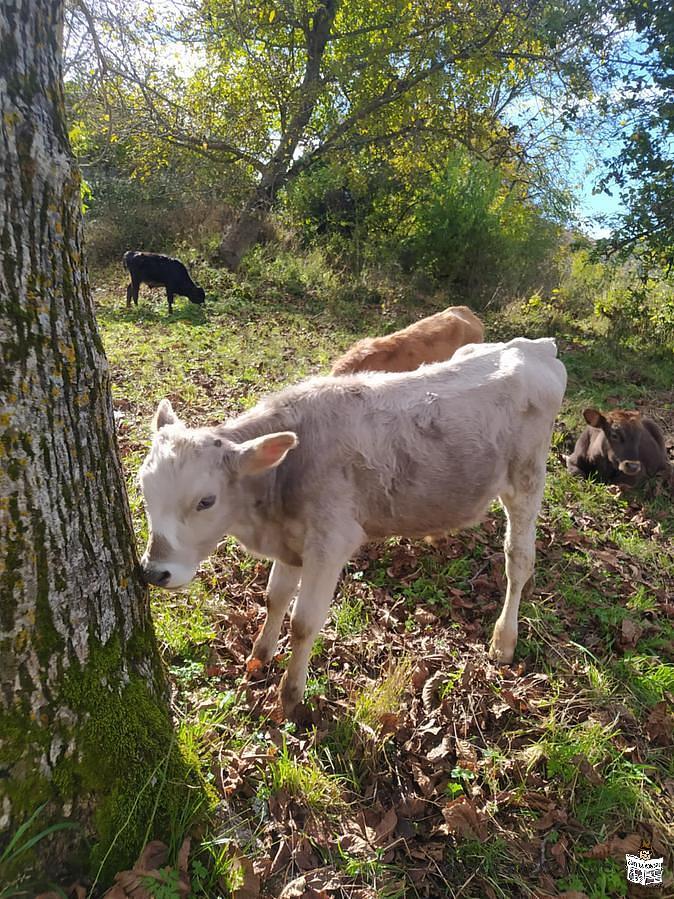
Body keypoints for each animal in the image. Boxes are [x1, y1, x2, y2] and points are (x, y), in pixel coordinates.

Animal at [139, 336, 564, 716]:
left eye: (206, 500)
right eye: (143, 488)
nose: (154, 572)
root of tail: (535, 346)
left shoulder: (330, 542)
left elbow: (304, 622)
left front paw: (290, 697)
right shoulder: (290, 541)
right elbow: (275, 597)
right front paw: (259, 657)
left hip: (527, 478)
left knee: (519, 558)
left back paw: (504, 639)